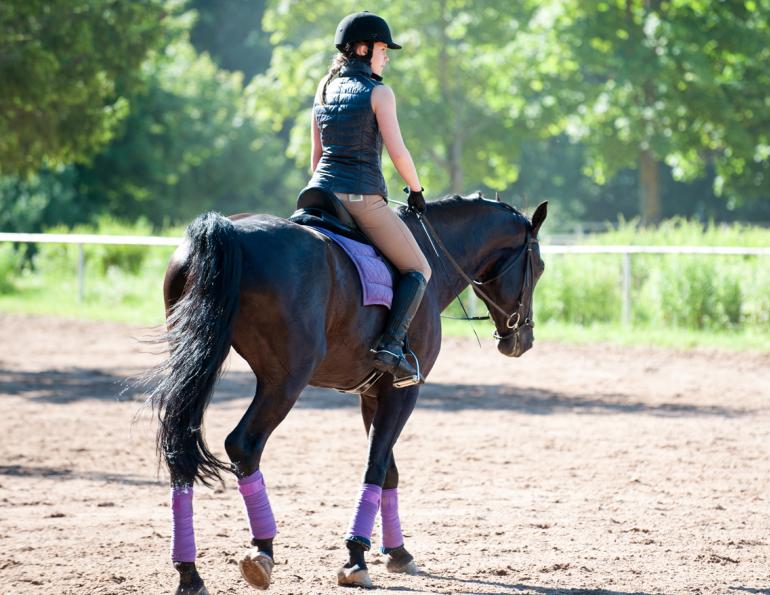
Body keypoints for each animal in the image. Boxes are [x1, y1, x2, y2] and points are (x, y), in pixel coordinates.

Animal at [147, 192, 547, 593]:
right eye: (540, 267)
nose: (522, 340)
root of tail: (229, 229)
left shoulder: (372, 395)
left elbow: (389, 471)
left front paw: (397, 552)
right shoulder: (403, 392)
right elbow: (376, 465)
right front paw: (356, 557)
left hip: (198, 362)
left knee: (180, 448)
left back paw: (189, 572)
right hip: (284, 380)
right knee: (244, 444)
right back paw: (262, 551)